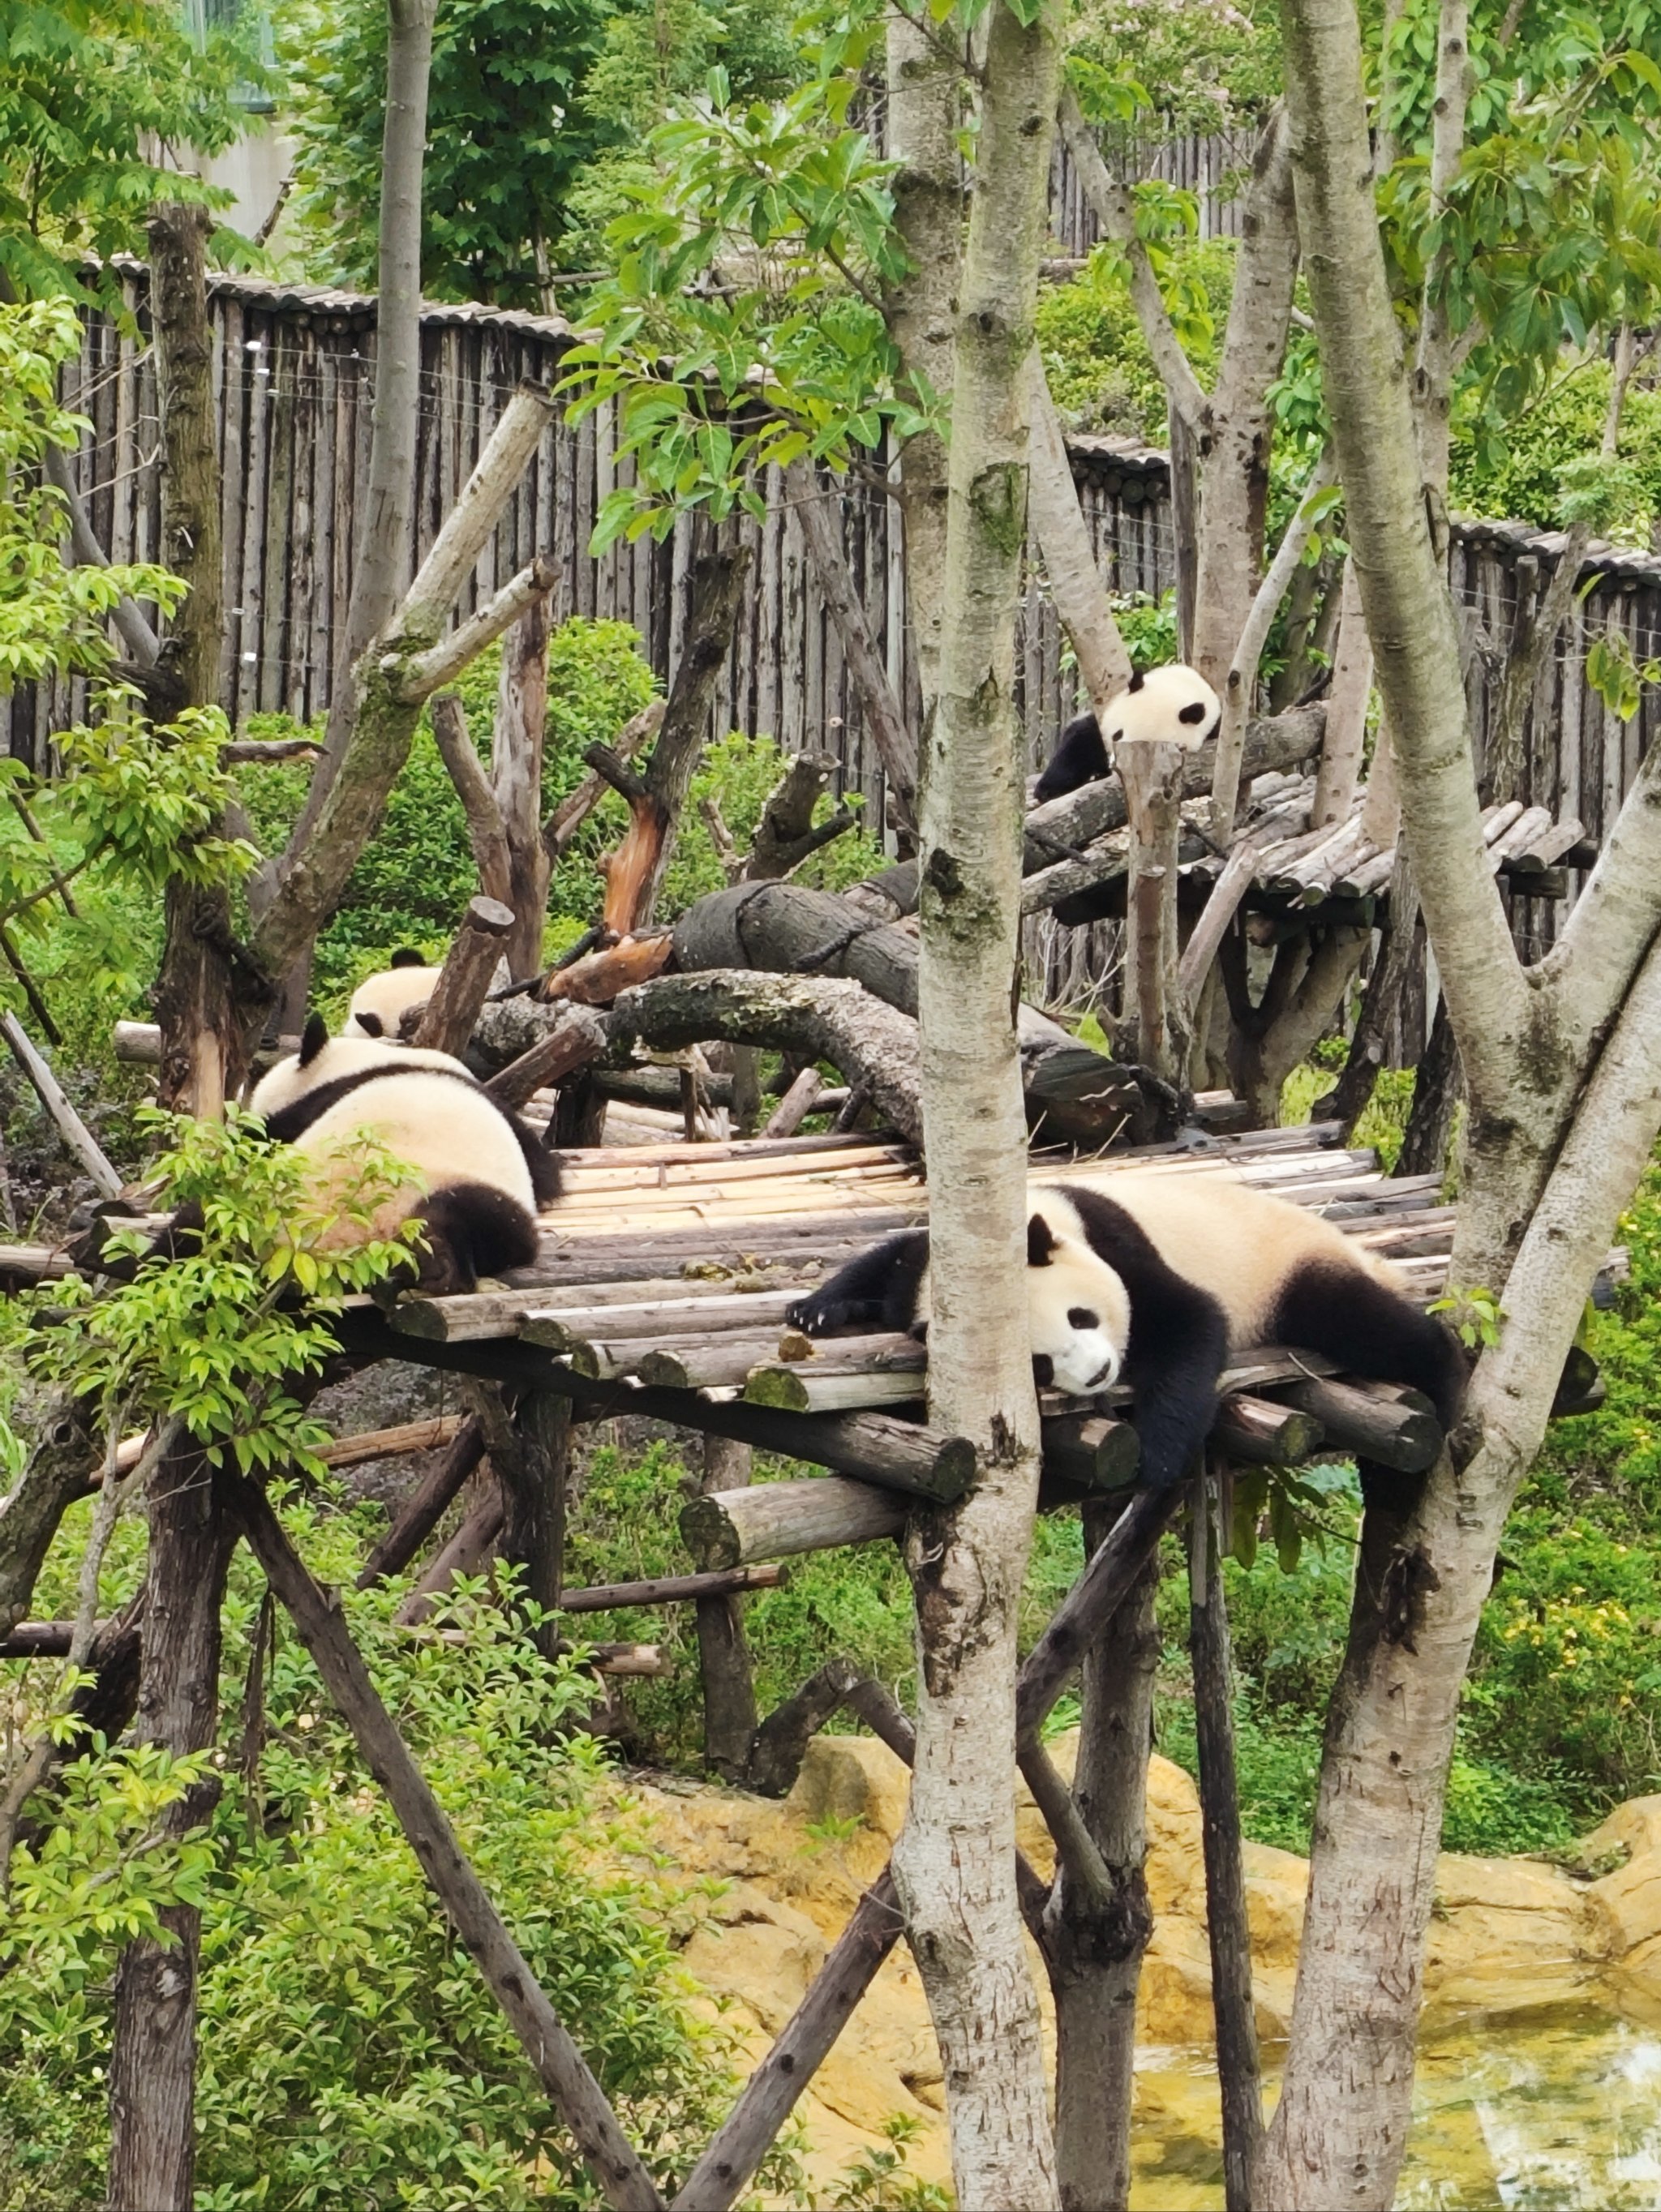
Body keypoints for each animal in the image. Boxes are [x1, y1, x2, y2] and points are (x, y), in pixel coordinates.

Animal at [787, 1177, 1459, 1504]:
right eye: (1037, 1364)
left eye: (1080, 1317)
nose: (1096, 1375)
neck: (1026, 1212)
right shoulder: (934, 1265)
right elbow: (891, 1259)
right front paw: (815, 1310)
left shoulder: (1113, 1241)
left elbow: (1193, 1322)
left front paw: (1158, 1455)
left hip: (1288, 1272)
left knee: (1362, 1321)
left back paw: (1445, 1381)